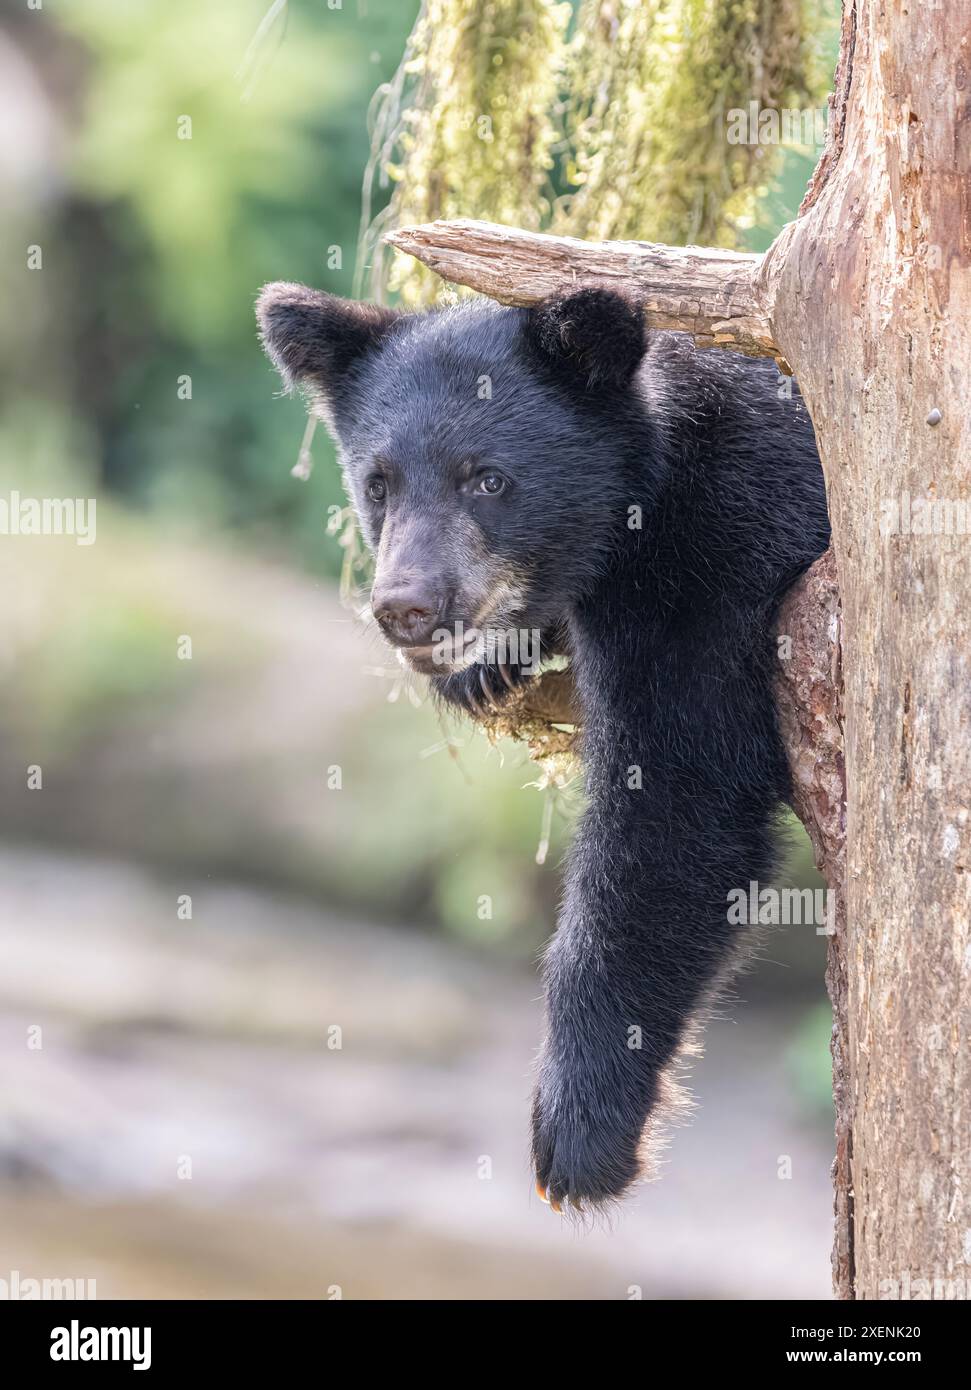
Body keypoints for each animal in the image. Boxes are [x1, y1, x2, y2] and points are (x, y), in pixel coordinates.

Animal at [256, 281, 831, 1212]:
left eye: (487, 478)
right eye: (378, 483)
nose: (405, 607)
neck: (645, 499)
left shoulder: (717, 560)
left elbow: (677, 803)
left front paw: (577, 1133)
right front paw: (486, 668)